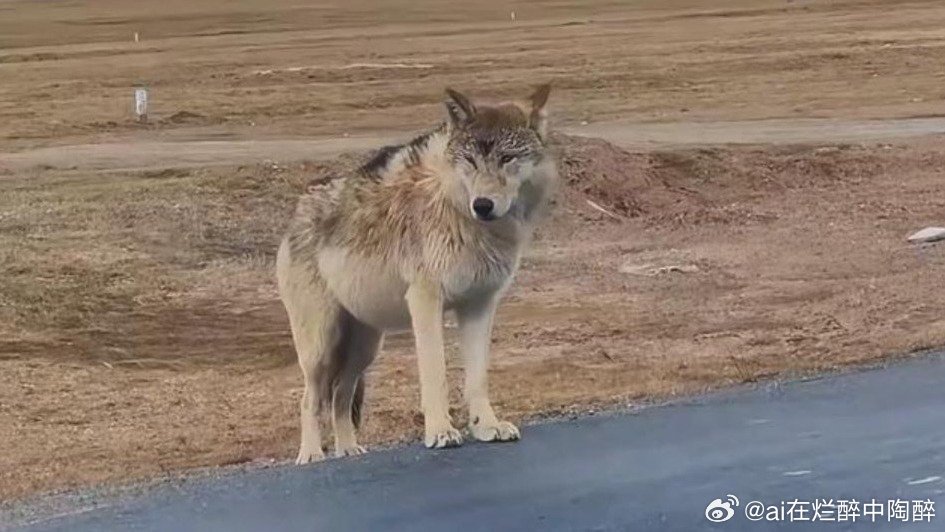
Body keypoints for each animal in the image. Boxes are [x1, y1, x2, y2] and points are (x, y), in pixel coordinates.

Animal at [274, 83, 552, 462]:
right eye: (470, 161)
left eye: (507, 158)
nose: (482, 205)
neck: (460, 211)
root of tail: (297, 211)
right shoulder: (424, 300)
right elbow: (435, 374)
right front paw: (440, 432)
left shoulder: (479, 305)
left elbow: (477, 377)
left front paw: (486, 427)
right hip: (321, 347)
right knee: (310, 399)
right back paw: (312, 454)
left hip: (365, 348)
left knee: (340, 396)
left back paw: (349, 451)